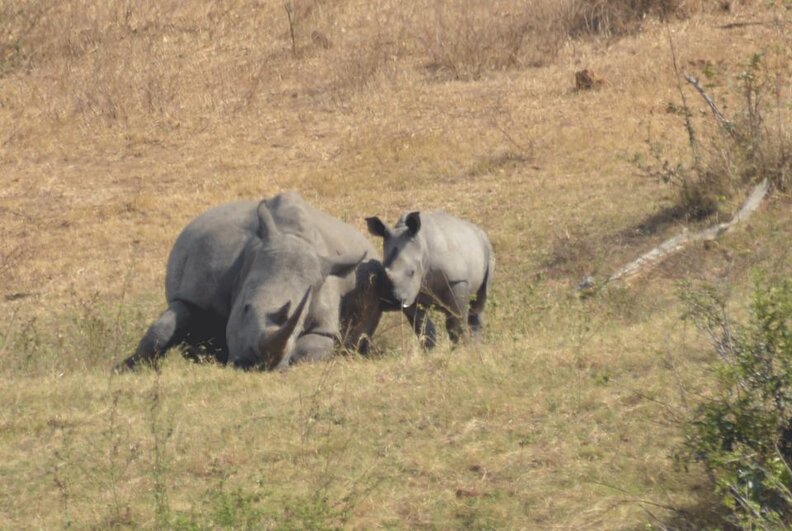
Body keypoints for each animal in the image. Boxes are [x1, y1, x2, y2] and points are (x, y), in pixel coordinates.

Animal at [115, 191, 386, 372]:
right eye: (245, 308)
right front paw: (126, 368)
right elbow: (164, 327)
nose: (255, 362)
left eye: (299, 324)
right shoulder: (199, 290)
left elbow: (311, 348)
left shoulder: (325, 323)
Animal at [365, 211, 494, 348]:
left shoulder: (457, 280)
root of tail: (479, 230)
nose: (397, 301)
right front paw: (429, 350)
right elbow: (422, 326)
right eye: (385, 273)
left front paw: (460, 349)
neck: (422, 246)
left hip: (487, 250)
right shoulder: (411, 291)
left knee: (479, 301)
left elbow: (456, 321)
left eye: (412, 272)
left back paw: (476, 346)